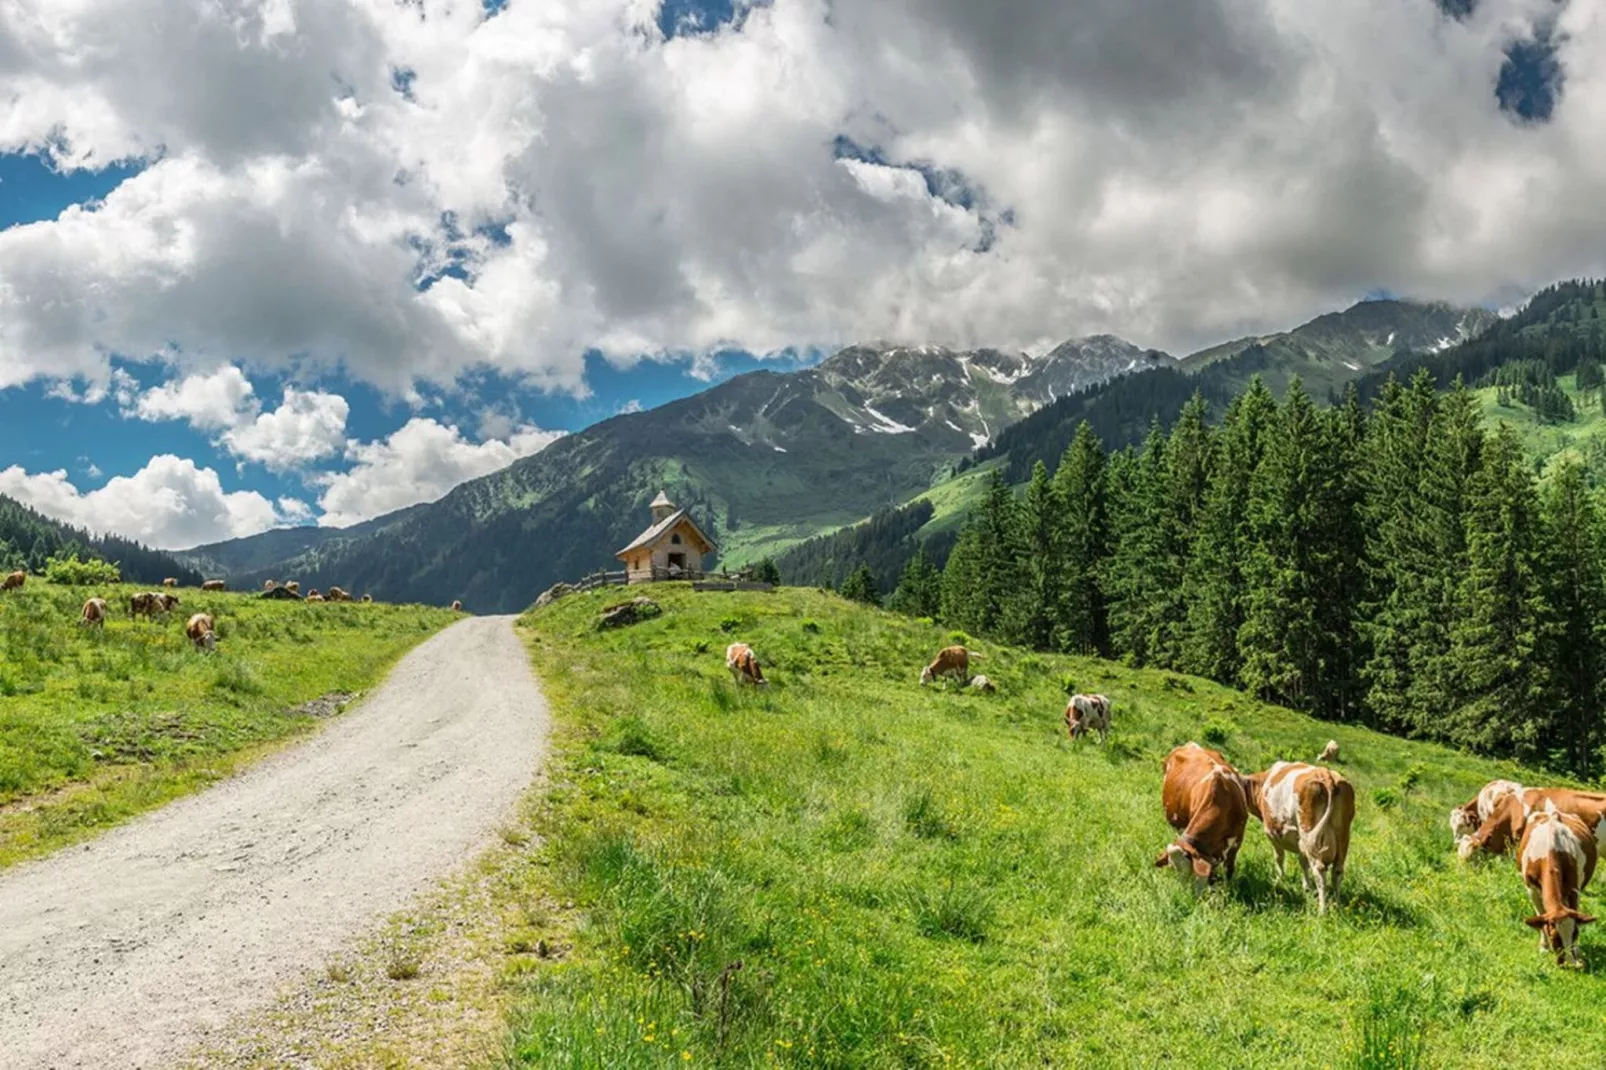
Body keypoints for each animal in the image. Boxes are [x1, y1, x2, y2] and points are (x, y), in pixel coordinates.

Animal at [1156, 732, 1252, 893]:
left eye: (1192, 871)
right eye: (1175, 870)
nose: (1186, 895)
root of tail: (1190, 744)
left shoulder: (1237, 840)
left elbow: (1228, 868)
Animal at [1239, 758, 1355, 906]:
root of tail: (1326, 774)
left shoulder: (1272, 833)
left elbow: (1279, 857)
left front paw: (1280, 879)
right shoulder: (1300, 843)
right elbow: (1302, 862)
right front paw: (1306, 887)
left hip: (1310, 835)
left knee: (1319, 870)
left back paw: (1322, 908)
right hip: (1342, 836)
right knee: (1338, 871)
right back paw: (1337, 904)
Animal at [1516, 800, 1593, 963]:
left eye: (1575, 934)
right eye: (1554, 938)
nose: (1569, 963)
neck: (1552, 849)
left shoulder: (1575, 888)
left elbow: (1575, 911)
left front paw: (1576, 951)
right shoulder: (1531, 890)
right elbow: (1541, 918)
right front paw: (1544, 947)